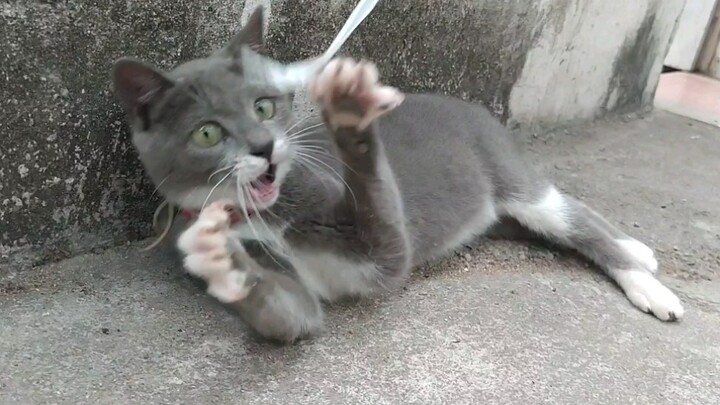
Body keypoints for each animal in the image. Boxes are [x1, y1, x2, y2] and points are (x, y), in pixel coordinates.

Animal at [111, 6, 680, 340]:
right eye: (207, 133)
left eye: (264, 107)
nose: (264, 148)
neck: (261, 215)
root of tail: (473, 107)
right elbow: (289, 315)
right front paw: (220, 260)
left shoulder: (361, 225)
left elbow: (382, 220)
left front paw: (349, 111)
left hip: (510, 173)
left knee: (569, 216)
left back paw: (641, 270)